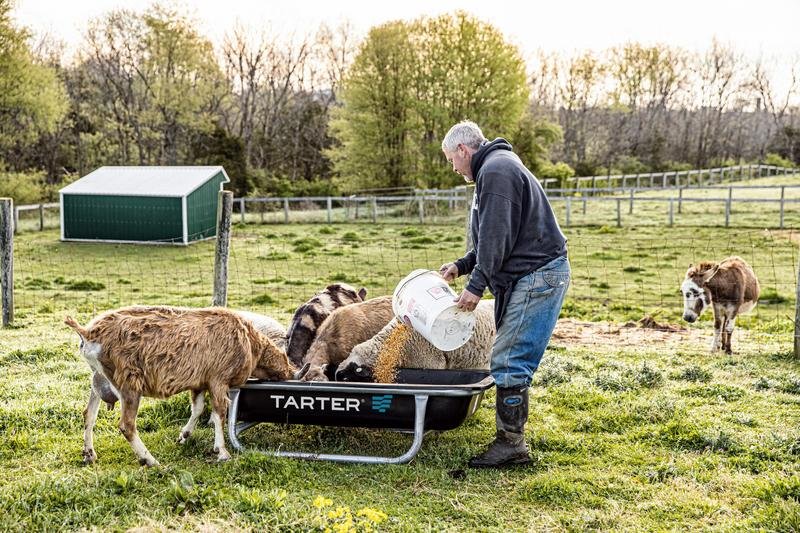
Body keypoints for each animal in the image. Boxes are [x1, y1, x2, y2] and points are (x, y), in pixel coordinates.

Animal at [65, 305, 294, 466]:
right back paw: (150, 460)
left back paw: (89, 454)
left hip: (98, 379)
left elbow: (198, 408)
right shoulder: (218, 380)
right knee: (126, 425)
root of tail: (88, 333)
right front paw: (222, 451)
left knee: (89, 414)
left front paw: (184, 436)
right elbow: (219, 413)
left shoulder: (199, 382)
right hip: (128, 383)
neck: (249, 340)